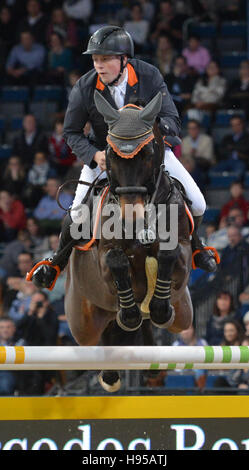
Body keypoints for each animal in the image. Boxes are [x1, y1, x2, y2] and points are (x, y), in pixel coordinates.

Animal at [64, 90, 193, 392]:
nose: (131, 218)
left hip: (184, 315)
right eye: (111, 154)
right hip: (82, 323)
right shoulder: (104, 258)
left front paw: (157, 308)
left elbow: (169, 254)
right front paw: (131, 313)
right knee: (98, 338)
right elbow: (116, 260)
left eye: (147, 153)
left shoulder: (182, 251)